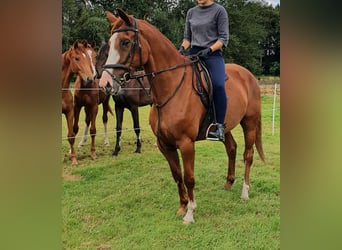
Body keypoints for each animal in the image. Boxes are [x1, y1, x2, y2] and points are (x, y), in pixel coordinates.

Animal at [99, 9, 264, 224]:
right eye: (109, 43)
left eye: (125, 42)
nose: (105, 83)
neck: (171, 87)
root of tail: (249, 75)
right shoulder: (165, 144)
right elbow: (177, 175)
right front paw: (182, 206)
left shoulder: (186, 143)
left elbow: (189, 177)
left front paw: (190, 213)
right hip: (225, 126)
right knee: (231, 149)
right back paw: (228, 183)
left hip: (249, 123)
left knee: (248, 155)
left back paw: (244, 192)